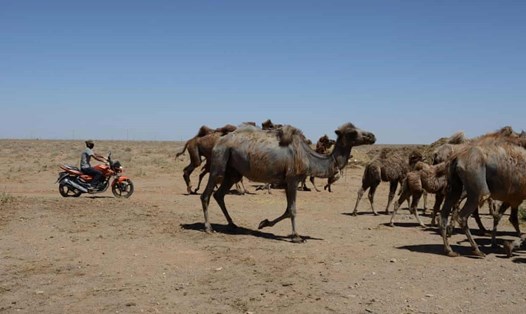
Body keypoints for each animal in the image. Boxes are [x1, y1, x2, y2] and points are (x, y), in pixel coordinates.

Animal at [200, 121, 378, 242]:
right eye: (352, 133)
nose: (372, 136)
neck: (309, 158)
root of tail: (219, 141)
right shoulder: (293, 180)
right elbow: (292, 210)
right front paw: (297, 236)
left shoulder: (286, 183)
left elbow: (286, 210)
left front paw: (263, 223)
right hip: (219, 162)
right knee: (206, 195)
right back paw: (208, 228)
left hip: (233, 172)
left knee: (219, 195)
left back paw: (232, 224)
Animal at [442, 127, 526, 258]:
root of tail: (456, 158)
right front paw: (509, 246)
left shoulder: (513, 198)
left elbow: (508, 218)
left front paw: (506, 245)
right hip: (479, 190)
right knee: (462, 216)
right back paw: (477, 250)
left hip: (454, 188)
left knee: (445, 212)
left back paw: (449, 250)